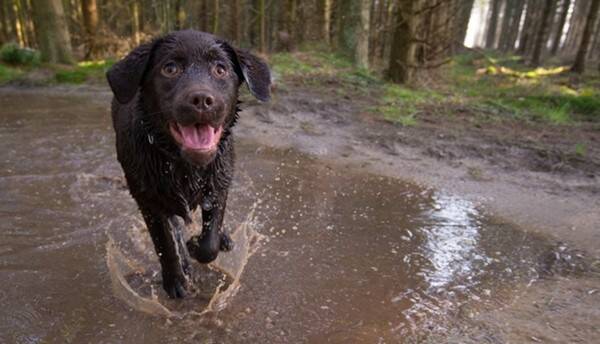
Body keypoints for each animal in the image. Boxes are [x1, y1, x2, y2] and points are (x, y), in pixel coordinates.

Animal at [106, 29, 270, 298]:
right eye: (170, 68)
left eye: (220, 69)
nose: (202, 99)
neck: (184, 166)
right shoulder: (148, 199)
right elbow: (165, 243)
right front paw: (176, 279)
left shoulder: (218, 186)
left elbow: (210, 241)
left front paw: (198, 245)